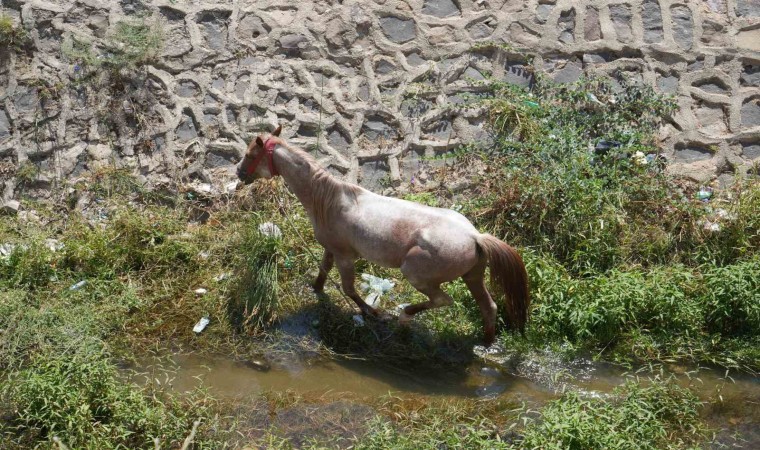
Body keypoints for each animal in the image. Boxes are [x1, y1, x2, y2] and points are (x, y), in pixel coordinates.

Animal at [236, 125, 529, 346]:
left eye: (250, 154)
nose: (238, 173)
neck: (327, 200)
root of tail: (475, 236)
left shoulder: (345, 256)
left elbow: (349, 288)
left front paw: (373, 312)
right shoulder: (331, 248)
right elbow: (323, 271)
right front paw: (316, 290)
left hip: (416, 272)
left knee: (444, 300)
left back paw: (406, 314)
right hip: (473, 276)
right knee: (488, 307)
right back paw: (486, 343)